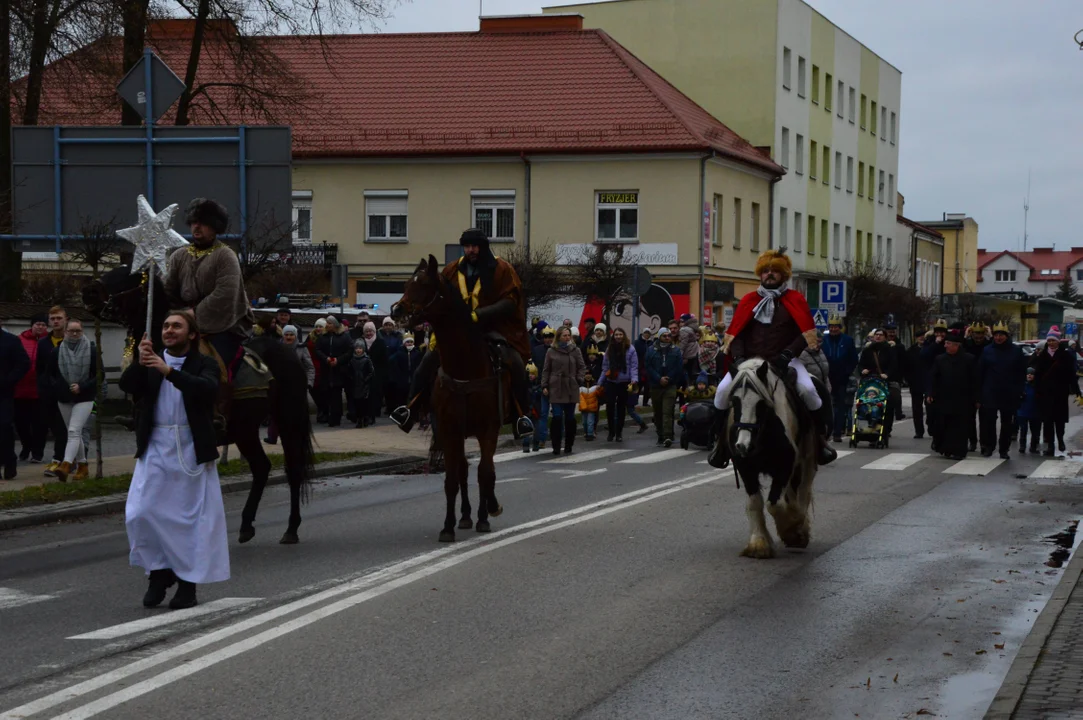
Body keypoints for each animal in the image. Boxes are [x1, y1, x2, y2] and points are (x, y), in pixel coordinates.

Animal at [83, 266, 314, 541]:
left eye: (129, 275)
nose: (89, 291)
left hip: (288, 419)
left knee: (294, 468)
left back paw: (291, 529)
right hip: (245, 429)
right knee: (261, 467)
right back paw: (246, 525)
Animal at [392, 255, 504, 541]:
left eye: (425, 284)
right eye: (407, 283)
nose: (396, 310)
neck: (465, 367)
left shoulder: (489, 429)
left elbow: (485, 472)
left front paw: (485, 517)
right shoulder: (448, 429)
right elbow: (452, 478)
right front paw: (448, 526)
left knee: (482, 471)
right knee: (463, 469)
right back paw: (464, 516)